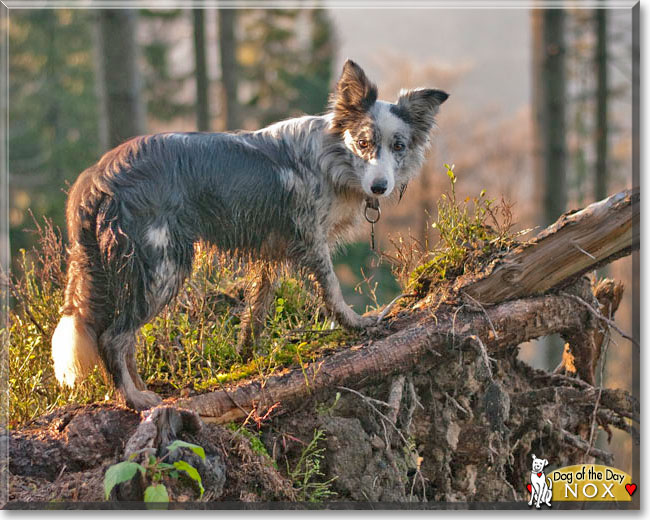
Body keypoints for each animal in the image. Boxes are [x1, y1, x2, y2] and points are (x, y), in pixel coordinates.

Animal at [50, 60, 448, 410]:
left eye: (398, 146)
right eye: (364, 144)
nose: (380, 187)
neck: (332, 159)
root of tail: (97, 177)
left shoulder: (272, 255)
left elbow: (255, 313)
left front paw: (246, 361)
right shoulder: (311, 241)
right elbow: (333, 290)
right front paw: (357, 324)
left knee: (125, 338)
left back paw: (141, 389)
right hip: (162, 266)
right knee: (113, 337)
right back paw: (133, 399)